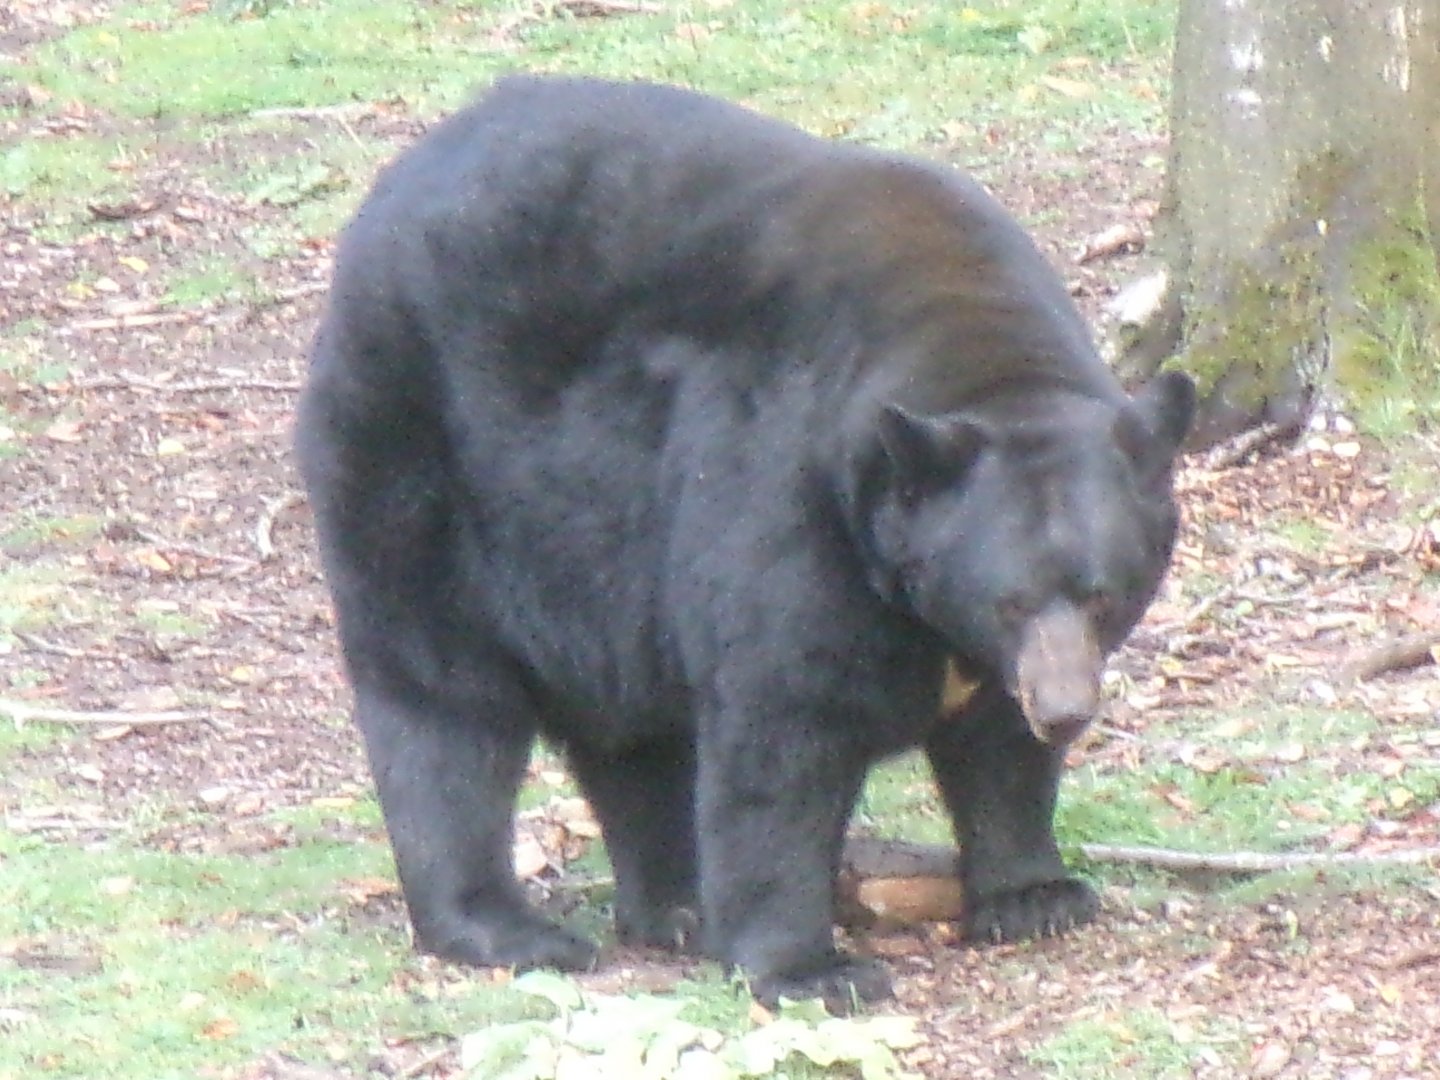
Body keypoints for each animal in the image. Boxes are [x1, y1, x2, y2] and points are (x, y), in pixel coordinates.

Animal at [296, 75, 1194, 1012]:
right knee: (442, 700)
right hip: (420, 453)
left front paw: (1036, 893)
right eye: (1009, 600)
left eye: (1102, 594)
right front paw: (809, 967)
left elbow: (996, 745)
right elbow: (784, 728)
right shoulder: (787, 498)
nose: (1065, 708)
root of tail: (393, 182)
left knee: (637, 740)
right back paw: (503, 924)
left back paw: (676, 904)